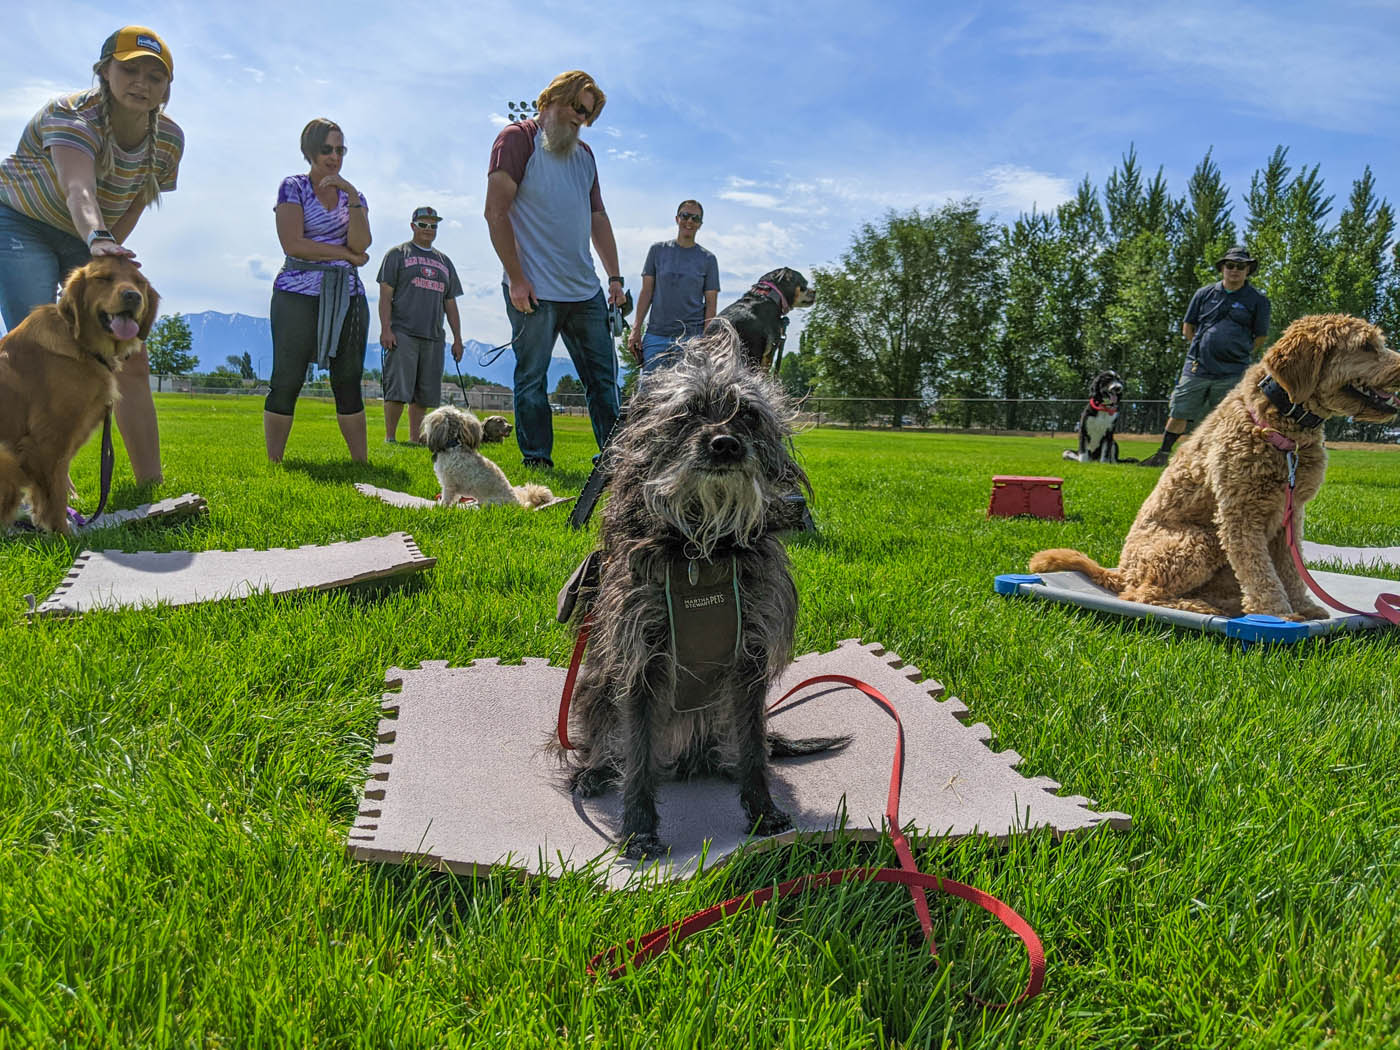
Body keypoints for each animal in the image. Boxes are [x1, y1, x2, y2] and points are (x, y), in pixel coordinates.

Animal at [0, 256, 158, 534]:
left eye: (139, 283)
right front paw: (64, 535)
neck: (81, 344)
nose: (133, 296)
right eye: (103, 278)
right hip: (6, 459)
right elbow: (55, 495)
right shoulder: (49, 441)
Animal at [417, 406, 554, 509]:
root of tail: (517, 504)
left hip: (489, 502)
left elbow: (446, 499)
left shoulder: (449, 485)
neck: (454, 444)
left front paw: (440, 508)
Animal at [560, 324, 840, 856]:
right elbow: (638, 755)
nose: (726, 444)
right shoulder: (641, 662)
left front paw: (763, 810)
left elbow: (753, 749)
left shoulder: (749, 661)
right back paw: (594, 771)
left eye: (748, 414)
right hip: (594, 690)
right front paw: (638, 828)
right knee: (611, 743)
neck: (702, 548)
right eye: (687, 412)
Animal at [1030, 316, 1400, 621]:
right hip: (1198, 539)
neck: (1283, 427)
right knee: (1141, 594)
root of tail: (1121, 571)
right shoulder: (1240, 513)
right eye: (1366, 346)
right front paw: (1277, 613)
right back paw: (1196, 607)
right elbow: (1261, 572)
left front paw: (1304, 607)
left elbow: (1291, 571)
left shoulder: (1290, 517)